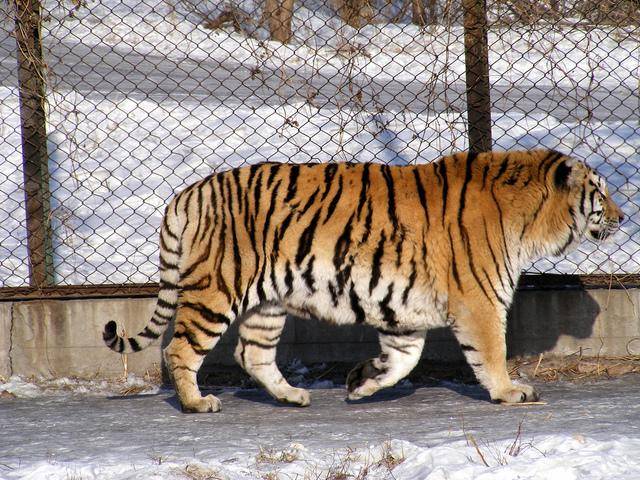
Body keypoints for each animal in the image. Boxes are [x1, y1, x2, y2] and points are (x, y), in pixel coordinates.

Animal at [104, 149, 624, 412]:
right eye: (599, 193)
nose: (622, 218)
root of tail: (186, 194)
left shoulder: (404, 309)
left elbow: (404, 360)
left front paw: (362, 381)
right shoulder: (480, 300)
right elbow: (490, 353)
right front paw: (510, 392)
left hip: (266, 304)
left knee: (251, 353)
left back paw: (293, 396)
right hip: (217, 290)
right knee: (180, 349)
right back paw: (198, 402)